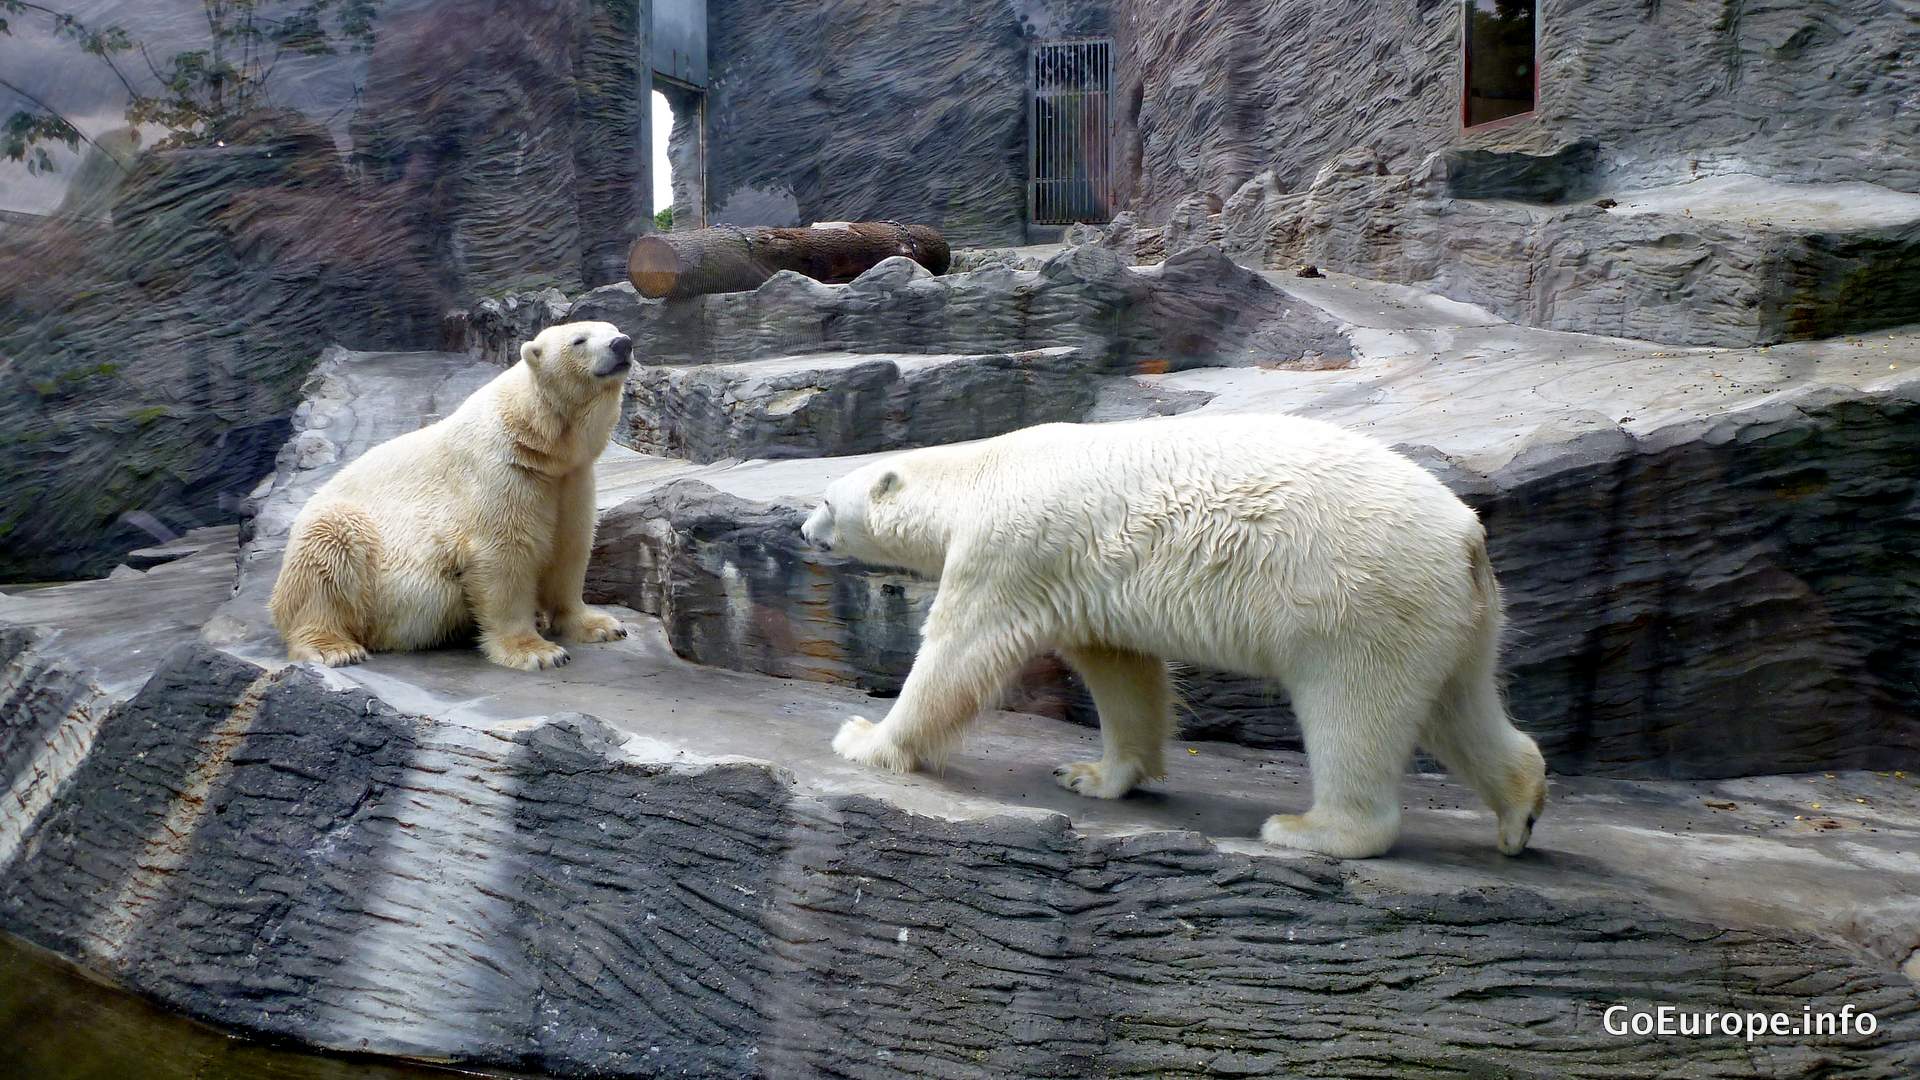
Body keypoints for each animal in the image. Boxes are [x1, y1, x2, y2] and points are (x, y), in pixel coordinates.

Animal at [270, 321, 635, 671]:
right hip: (348, 549)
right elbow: (504, 554)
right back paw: (334, 648)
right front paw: (538, 652)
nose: (623, 344)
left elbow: (569, 548)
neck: (534, 437)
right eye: (579, 340)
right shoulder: (500, 474)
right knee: (328, 552)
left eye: (614, 329)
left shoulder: (571, 479)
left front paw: (601, 625)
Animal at [800, 414, 1547, 859]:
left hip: (1360, 600)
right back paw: (1520, 809)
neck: (981, 474)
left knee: (1354, 709)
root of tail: (1466, 535)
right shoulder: (1082, 573)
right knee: (1457, 702)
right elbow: (1121, 669)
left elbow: (959, 650)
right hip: (1450, 613)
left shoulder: (1012, 549)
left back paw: (1311, 831)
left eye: (826, 500)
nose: (805, 530)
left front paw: (865, 738)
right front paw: (1092, 774)